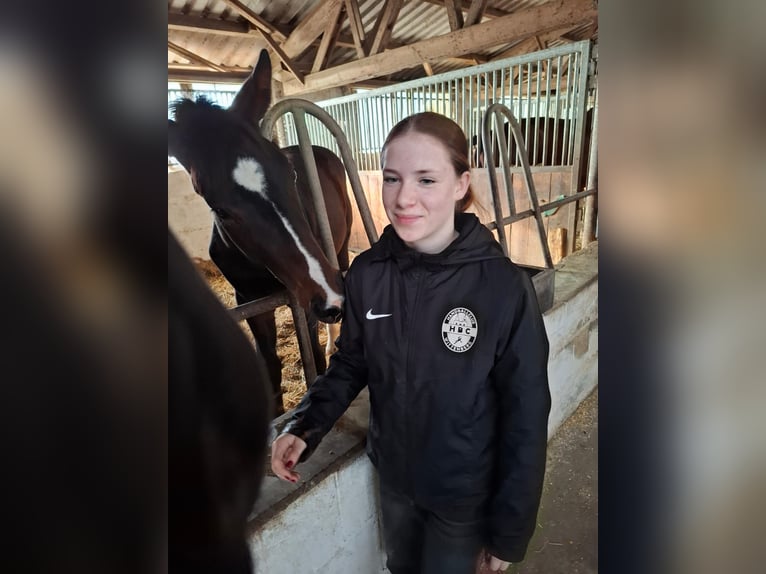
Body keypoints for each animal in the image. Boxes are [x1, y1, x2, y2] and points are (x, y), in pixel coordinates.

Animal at [168, 49, 354, 416]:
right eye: (221, 209)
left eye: (290, 171)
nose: (329, 297)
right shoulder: (250, 299)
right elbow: (269, 365)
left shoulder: (304, 297)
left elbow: (313, 358)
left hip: (339, 250)